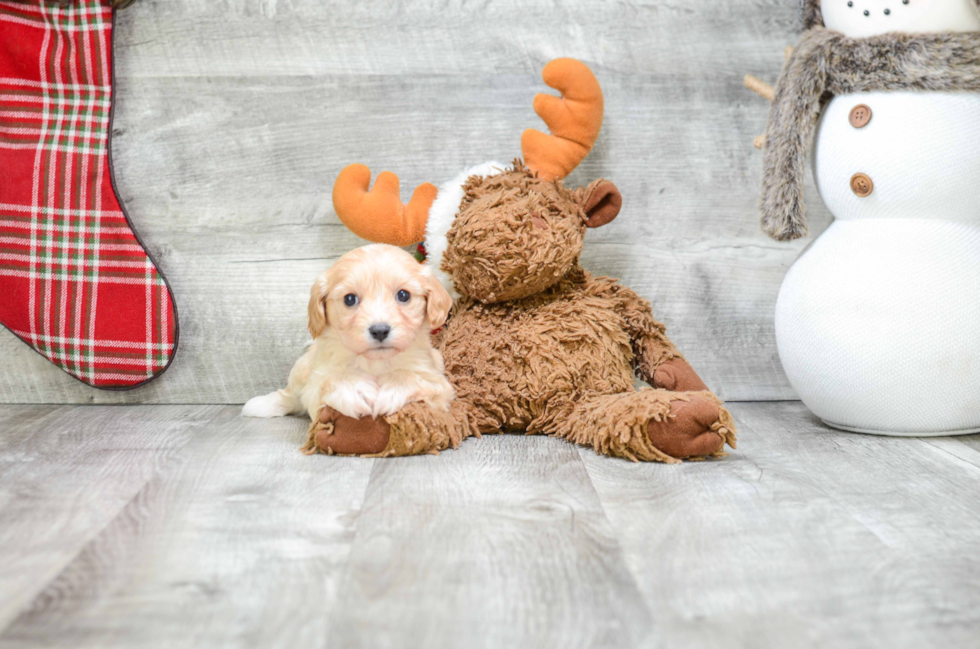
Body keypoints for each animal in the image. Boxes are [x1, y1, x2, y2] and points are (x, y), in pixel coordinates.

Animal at [245, 243, 460, 420]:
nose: (380, 331)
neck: (375, 363)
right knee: (291, 395)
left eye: (403, 295)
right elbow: (329, 382)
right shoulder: (314, 388)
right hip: (301, 368)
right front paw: (352, 388)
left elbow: (412, 377)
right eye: (350, 299)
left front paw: (393, 388)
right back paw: (261, 405)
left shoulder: (440, 385)